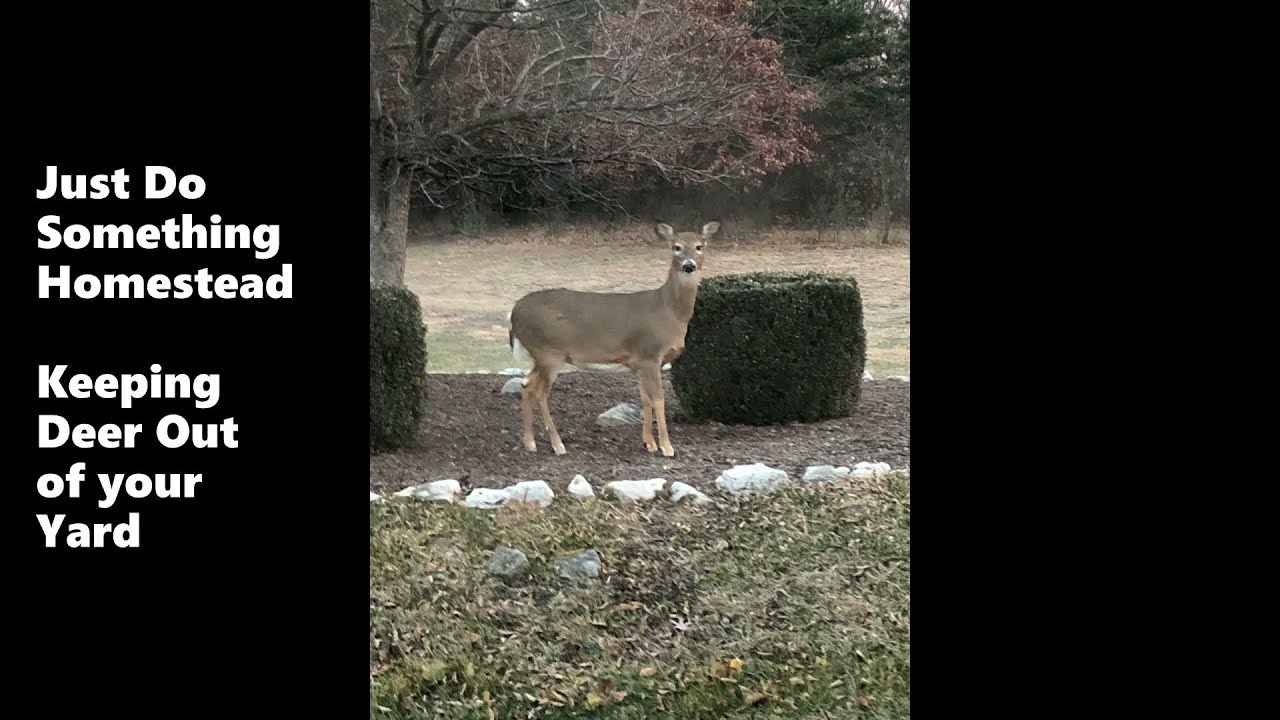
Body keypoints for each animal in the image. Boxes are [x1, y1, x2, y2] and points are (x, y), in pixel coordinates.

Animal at [506, 220, 721, 458]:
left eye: (699, 246)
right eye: (676, 247)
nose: (688, 265)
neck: (668, 311)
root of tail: (513, 313)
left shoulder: (640, 362)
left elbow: (645, 398)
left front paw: (649, 443)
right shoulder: (649, 354)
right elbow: (658, 399)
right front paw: (667, 447)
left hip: (541, 355)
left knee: (526, 384)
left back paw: (530, 443)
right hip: (549, 352)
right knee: (540, 392)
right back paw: (557, 445)